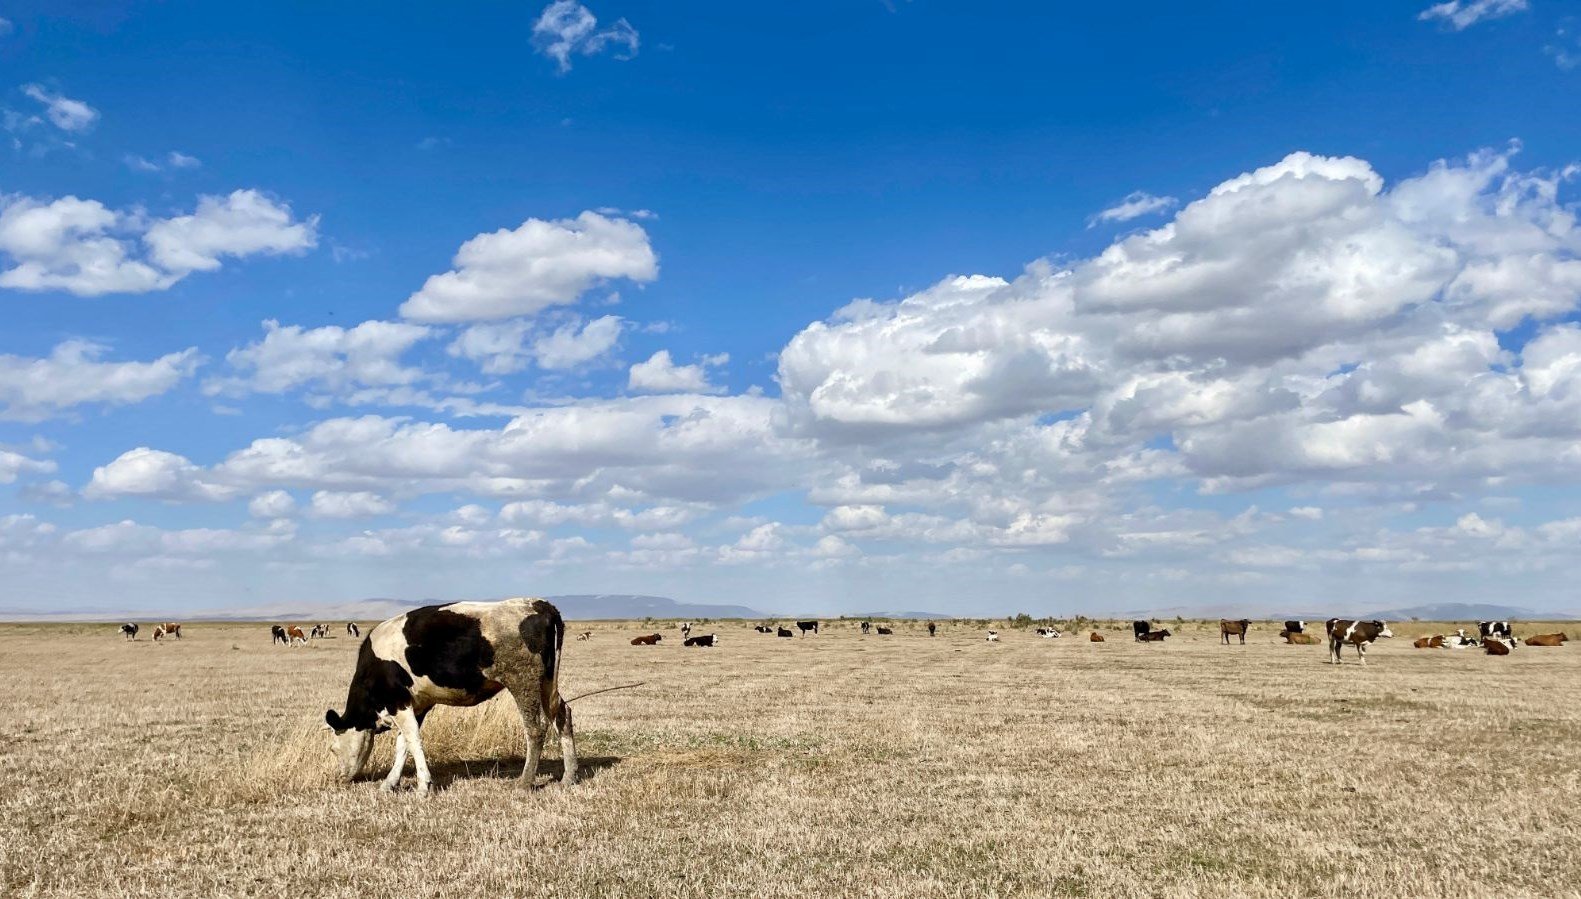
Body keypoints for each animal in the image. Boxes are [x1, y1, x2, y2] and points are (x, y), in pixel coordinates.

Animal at [320, 597, 575, 793]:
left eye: (333, 749)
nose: (340, 778)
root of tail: (538, 603)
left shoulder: (397, 701)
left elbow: (413, 740)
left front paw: (424, 786)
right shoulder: (416, 704)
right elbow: (403, 744)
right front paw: (390, 784)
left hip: (523, 681)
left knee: (535, 728)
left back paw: (524, 782)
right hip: (546, 682)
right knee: (562, 714)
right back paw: (568, 777)